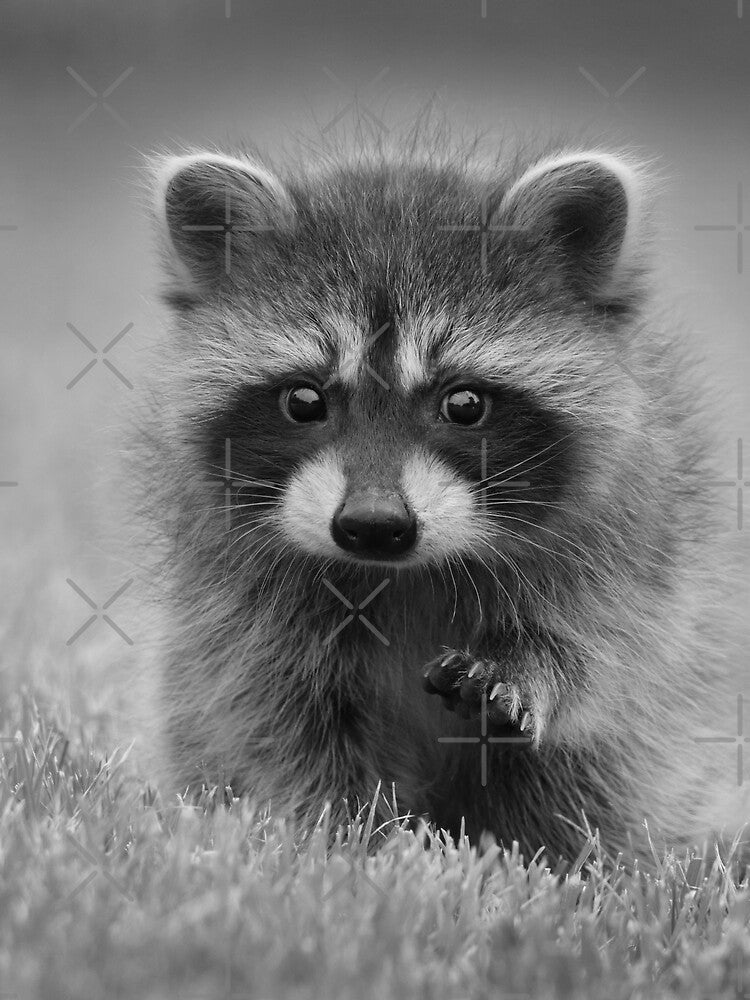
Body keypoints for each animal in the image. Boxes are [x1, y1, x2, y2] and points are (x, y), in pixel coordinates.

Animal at [139, 135, 745, 863]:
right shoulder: (242, 601)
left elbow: (602, 657)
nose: (373, 525)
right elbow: (275, 717)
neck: (405, 574)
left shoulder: (624, 549)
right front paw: (345, 836)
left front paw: (531, 668)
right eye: (304, 400)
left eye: (464, 404)